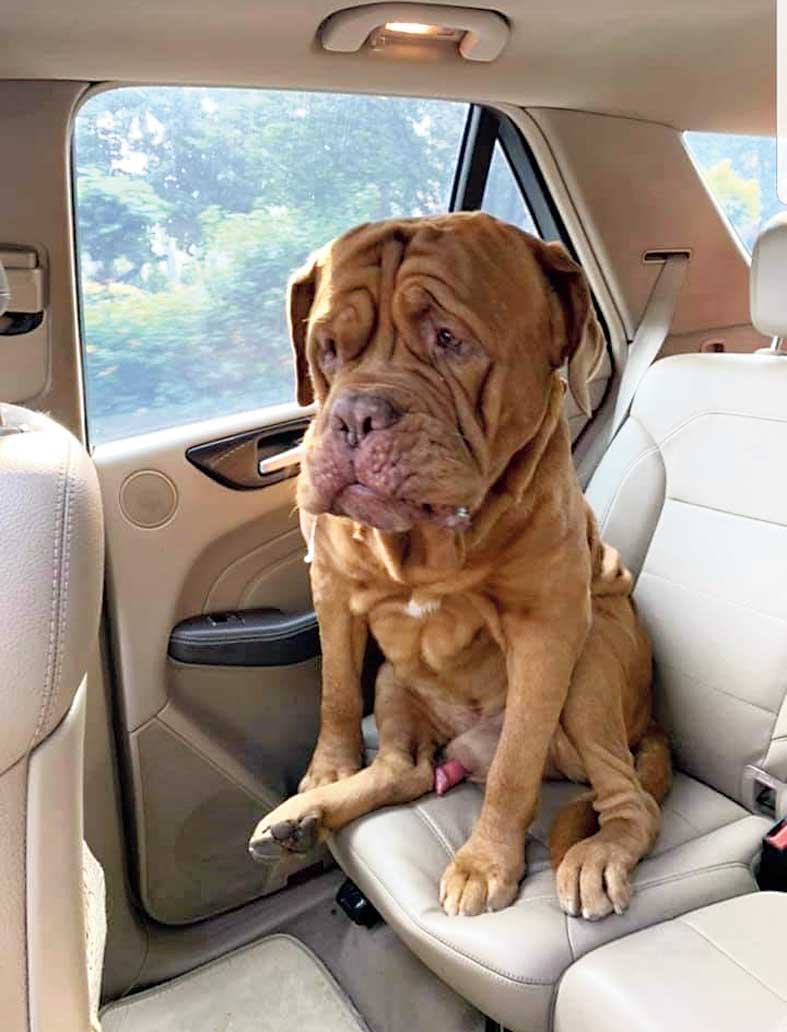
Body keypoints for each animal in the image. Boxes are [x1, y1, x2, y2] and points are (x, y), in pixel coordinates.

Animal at [249, 215, 668, 920]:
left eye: (450, 340)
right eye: (327, 348)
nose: (355, 415)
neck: (428, 549)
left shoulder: (548, 631)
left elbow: (513, 766)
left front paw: (485, 863)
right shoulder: (331, 588)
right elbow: (335, 690)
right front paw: (326, 774)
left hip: (591, 667)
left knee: (629, 798)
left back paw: (600, 854)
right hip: (394, 679)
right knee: (406, 768)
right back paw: (307, 813)